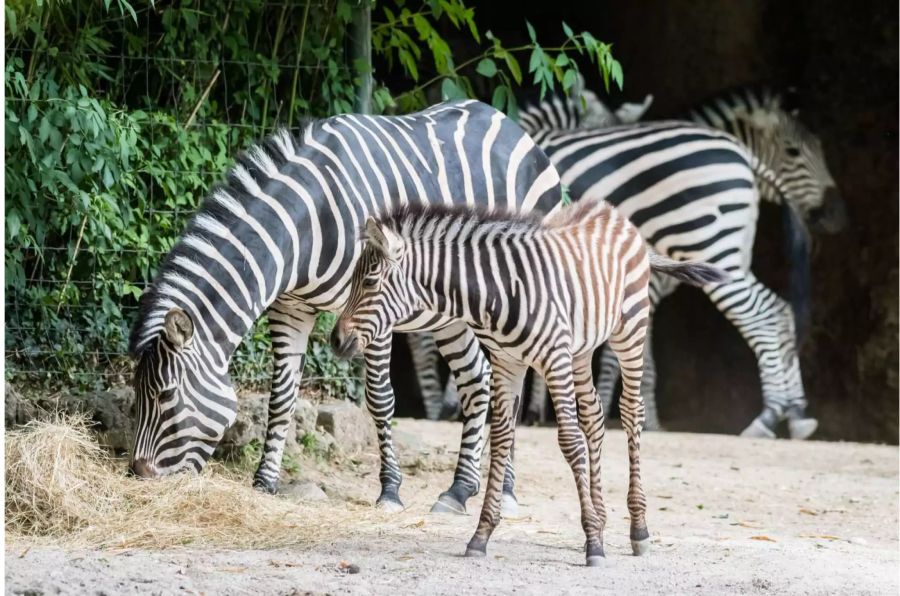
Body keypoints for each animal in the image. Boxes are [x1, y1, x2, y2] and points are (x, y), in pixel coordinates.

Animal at [126, 99, 564, 516]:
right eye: (137, 395)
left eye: (165, 395)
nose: (138, 475)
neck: (305, 225)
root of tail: (508, 121)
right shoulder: (290, 308)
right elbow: (281, 396)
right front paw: (265, 481)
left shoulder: (378, 308)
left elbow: (380, 398)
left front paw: (390, 490)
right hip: (451, 315)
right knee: (479, 379)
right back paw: (460, 491)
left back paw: (505, 492)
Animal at [328, 199, 724, 564]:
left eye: (369, 282)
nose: (334, 340)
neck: (498, 295)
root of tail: (611, 211)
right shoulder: (507, 363)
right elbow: (502, 439)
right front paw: (481, 536)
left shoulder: (554, 360)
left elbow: (569, 442)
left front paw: (593, 543)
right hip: (582, 350)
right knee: (594, 417)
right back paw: (602, 514)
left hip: (630, 330)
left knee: (630, 412)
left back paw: (638, 529)